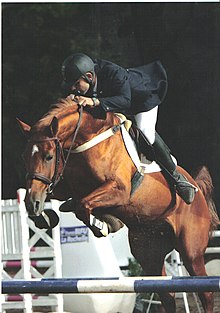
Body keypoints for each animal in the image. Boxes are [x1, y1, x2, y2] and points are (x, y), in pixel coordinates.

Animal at [17, 96, 218, 310]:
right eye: (24, 157)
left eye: (49, 157)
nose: (33, 203)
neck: (87, 139)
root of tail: (198, 190)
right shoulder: (69, 186)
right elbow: (72, 201)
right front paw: (44, 216)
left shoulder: (120, 191)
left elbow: (83, 206)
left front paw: (104, 225)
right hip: (149, 253)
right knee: (166, 294)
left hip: (191, 252)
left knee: (205, 292)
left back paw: (184, 188)